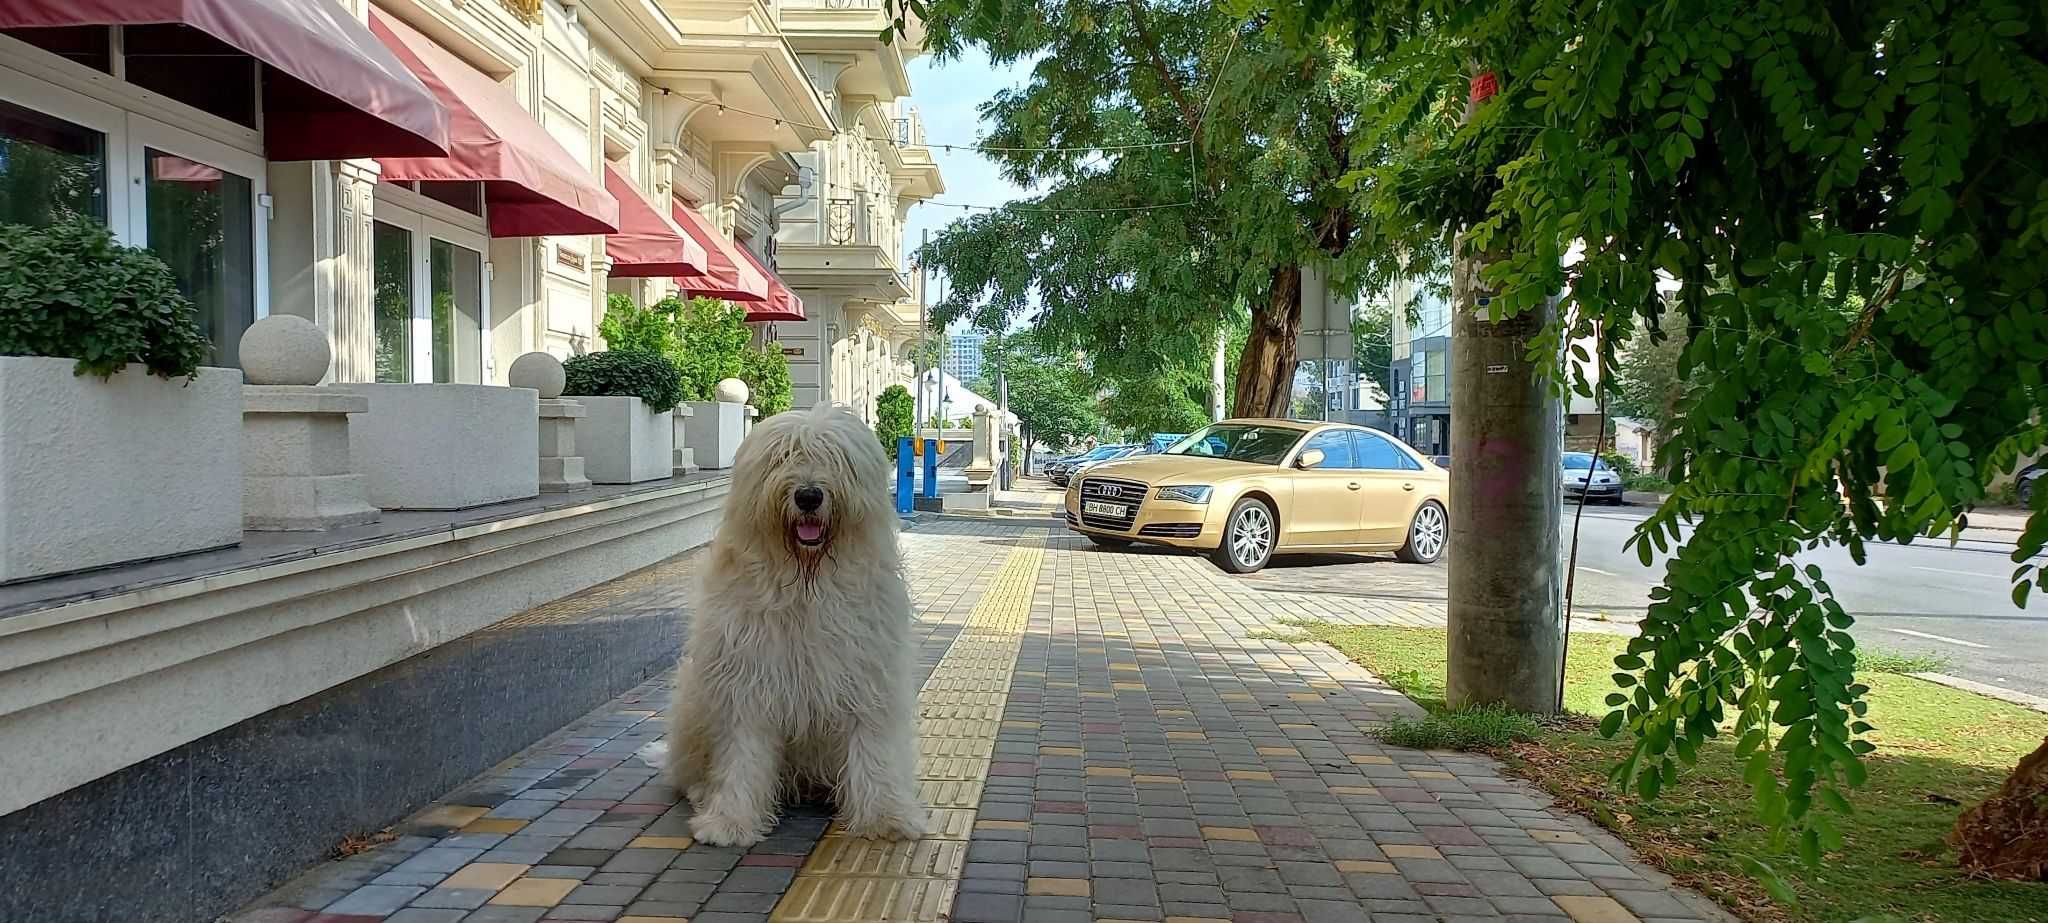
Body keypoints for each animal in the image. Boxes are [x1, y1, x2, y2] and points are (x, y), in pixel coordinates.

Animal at [667, 405, 925, 847]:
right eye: (783, 457)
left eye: (836, 458)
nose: (808, 496)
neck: (807, 586)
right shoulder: (748, 683)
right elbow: (743, 755)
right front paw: (730, 822)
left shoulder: (869, 679)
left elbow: (873, 748)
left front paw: (885, 817)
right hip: (692, 700)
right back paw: (704, 792)